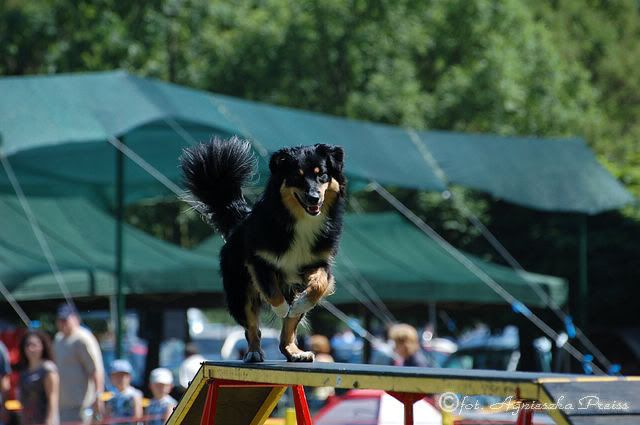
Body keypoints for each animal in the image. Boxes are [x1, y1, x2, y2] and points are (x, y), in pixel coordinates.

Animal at [180, 137, 346, 362]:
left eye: (322, 174)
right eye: (297, 176)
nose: (314, 198)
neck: (300, 220)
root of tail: (241, 221)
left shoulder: (319, 262)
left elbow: (318, 286)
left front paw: (299, 305)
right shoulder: (260, 261)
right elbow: (273, 293)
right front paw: (282, 308)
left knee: (288, 330)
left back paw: (294, 351)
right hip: (239, 291)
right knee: (251, 326)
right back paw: (253, 352)